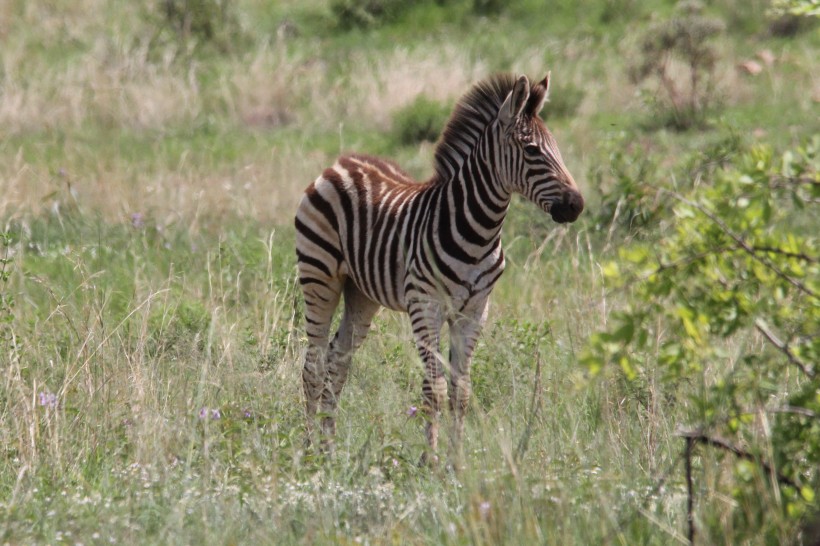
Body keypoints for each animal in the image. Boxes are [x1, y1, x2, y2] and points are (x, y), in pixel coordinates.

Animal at [294, 71, 584, 454]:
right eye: (532, 150)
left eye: (556, 147)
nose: (576, 205)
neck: (479, 232)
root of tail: (341, 163)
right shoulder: (425, 305)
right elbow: (435, 388)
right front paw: (428, 459)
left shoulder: (475, 311)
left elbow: (461, 391)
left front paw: (454, 459)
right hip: (319, 276)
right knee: (312, 365)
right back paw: (309, 450)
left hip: (361, 294)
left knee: (337, 361)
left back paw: (328, 447)